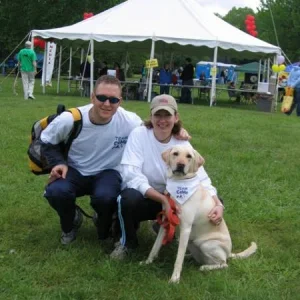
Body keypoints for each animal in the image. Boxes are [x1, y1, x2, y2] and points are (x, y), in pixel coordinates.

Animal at [144, 145, 258, 284]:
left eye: (189, 156)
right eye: (175, 154)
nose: (180, 165)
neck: (179, 183)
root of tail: (229, 253)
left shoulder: (185, 228)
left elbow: (178, 260)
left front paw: (175, 279)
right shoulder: (166, 222)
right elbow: (155, 247)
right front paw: (147, 262)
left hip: (206, 244)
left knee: (223, 264)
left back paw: (205, 267)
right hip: (192, 243)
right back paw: (190, 257)